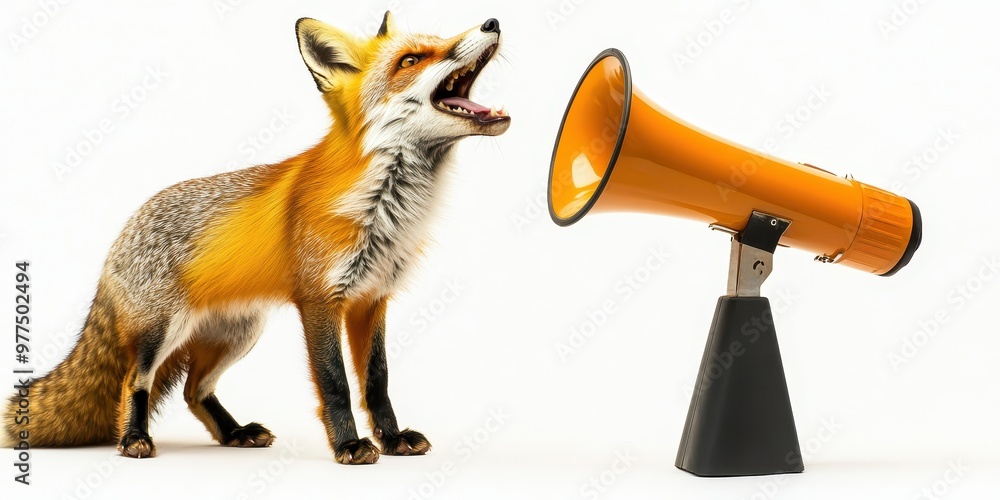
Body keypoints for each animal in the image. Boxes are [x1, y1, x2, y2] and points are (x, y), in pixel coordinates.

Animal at [3, 12, 510, 465]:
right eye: (411, 59)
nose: (492, 22)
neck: (385, 206)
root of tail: (123, 231)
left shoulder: (372, 299)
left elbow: (376, 381)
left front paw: (392, 439)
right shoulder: (320, 300)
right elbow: (336, 383)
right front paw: (349, 446)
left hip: (238, 333)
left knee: (193, 390)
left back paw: (233, 433)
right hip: (162, 331)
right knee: (135, 381)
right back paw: (134, 440)